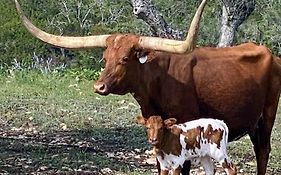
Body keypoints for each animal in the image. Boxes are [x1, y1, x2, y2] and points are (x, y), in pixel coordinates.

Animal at [14, 0, 280, 175]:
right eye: (105, 58)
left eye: (124, 59)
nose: (99, 86)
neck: (157, 83)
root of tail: (270, 53)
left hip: (267, 114)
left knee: (263, 151)